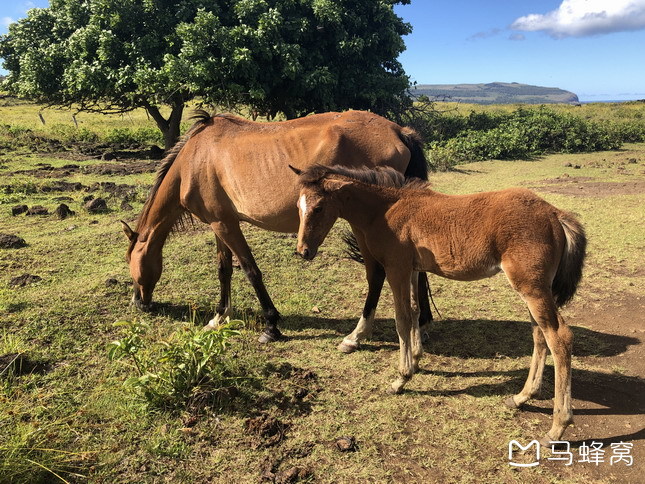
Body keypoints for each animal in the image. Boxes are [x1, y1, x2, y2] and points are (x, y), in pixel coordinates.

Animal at [294, 164, 588, 444]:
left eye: (319, 207)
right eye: (298, 206)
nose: (303, 252)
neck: (386, 209)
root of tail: (555, 214)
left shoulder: (396, 268)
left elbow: (402, 319)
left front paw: (401, 379)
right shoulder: (413, 269)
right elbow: (415, 311)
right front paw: (415, 360)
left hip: (531, 287)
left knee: (559, 337)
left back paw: (557, 427)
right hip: (534, 289)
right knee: (540, 334)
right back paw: (521, 397)